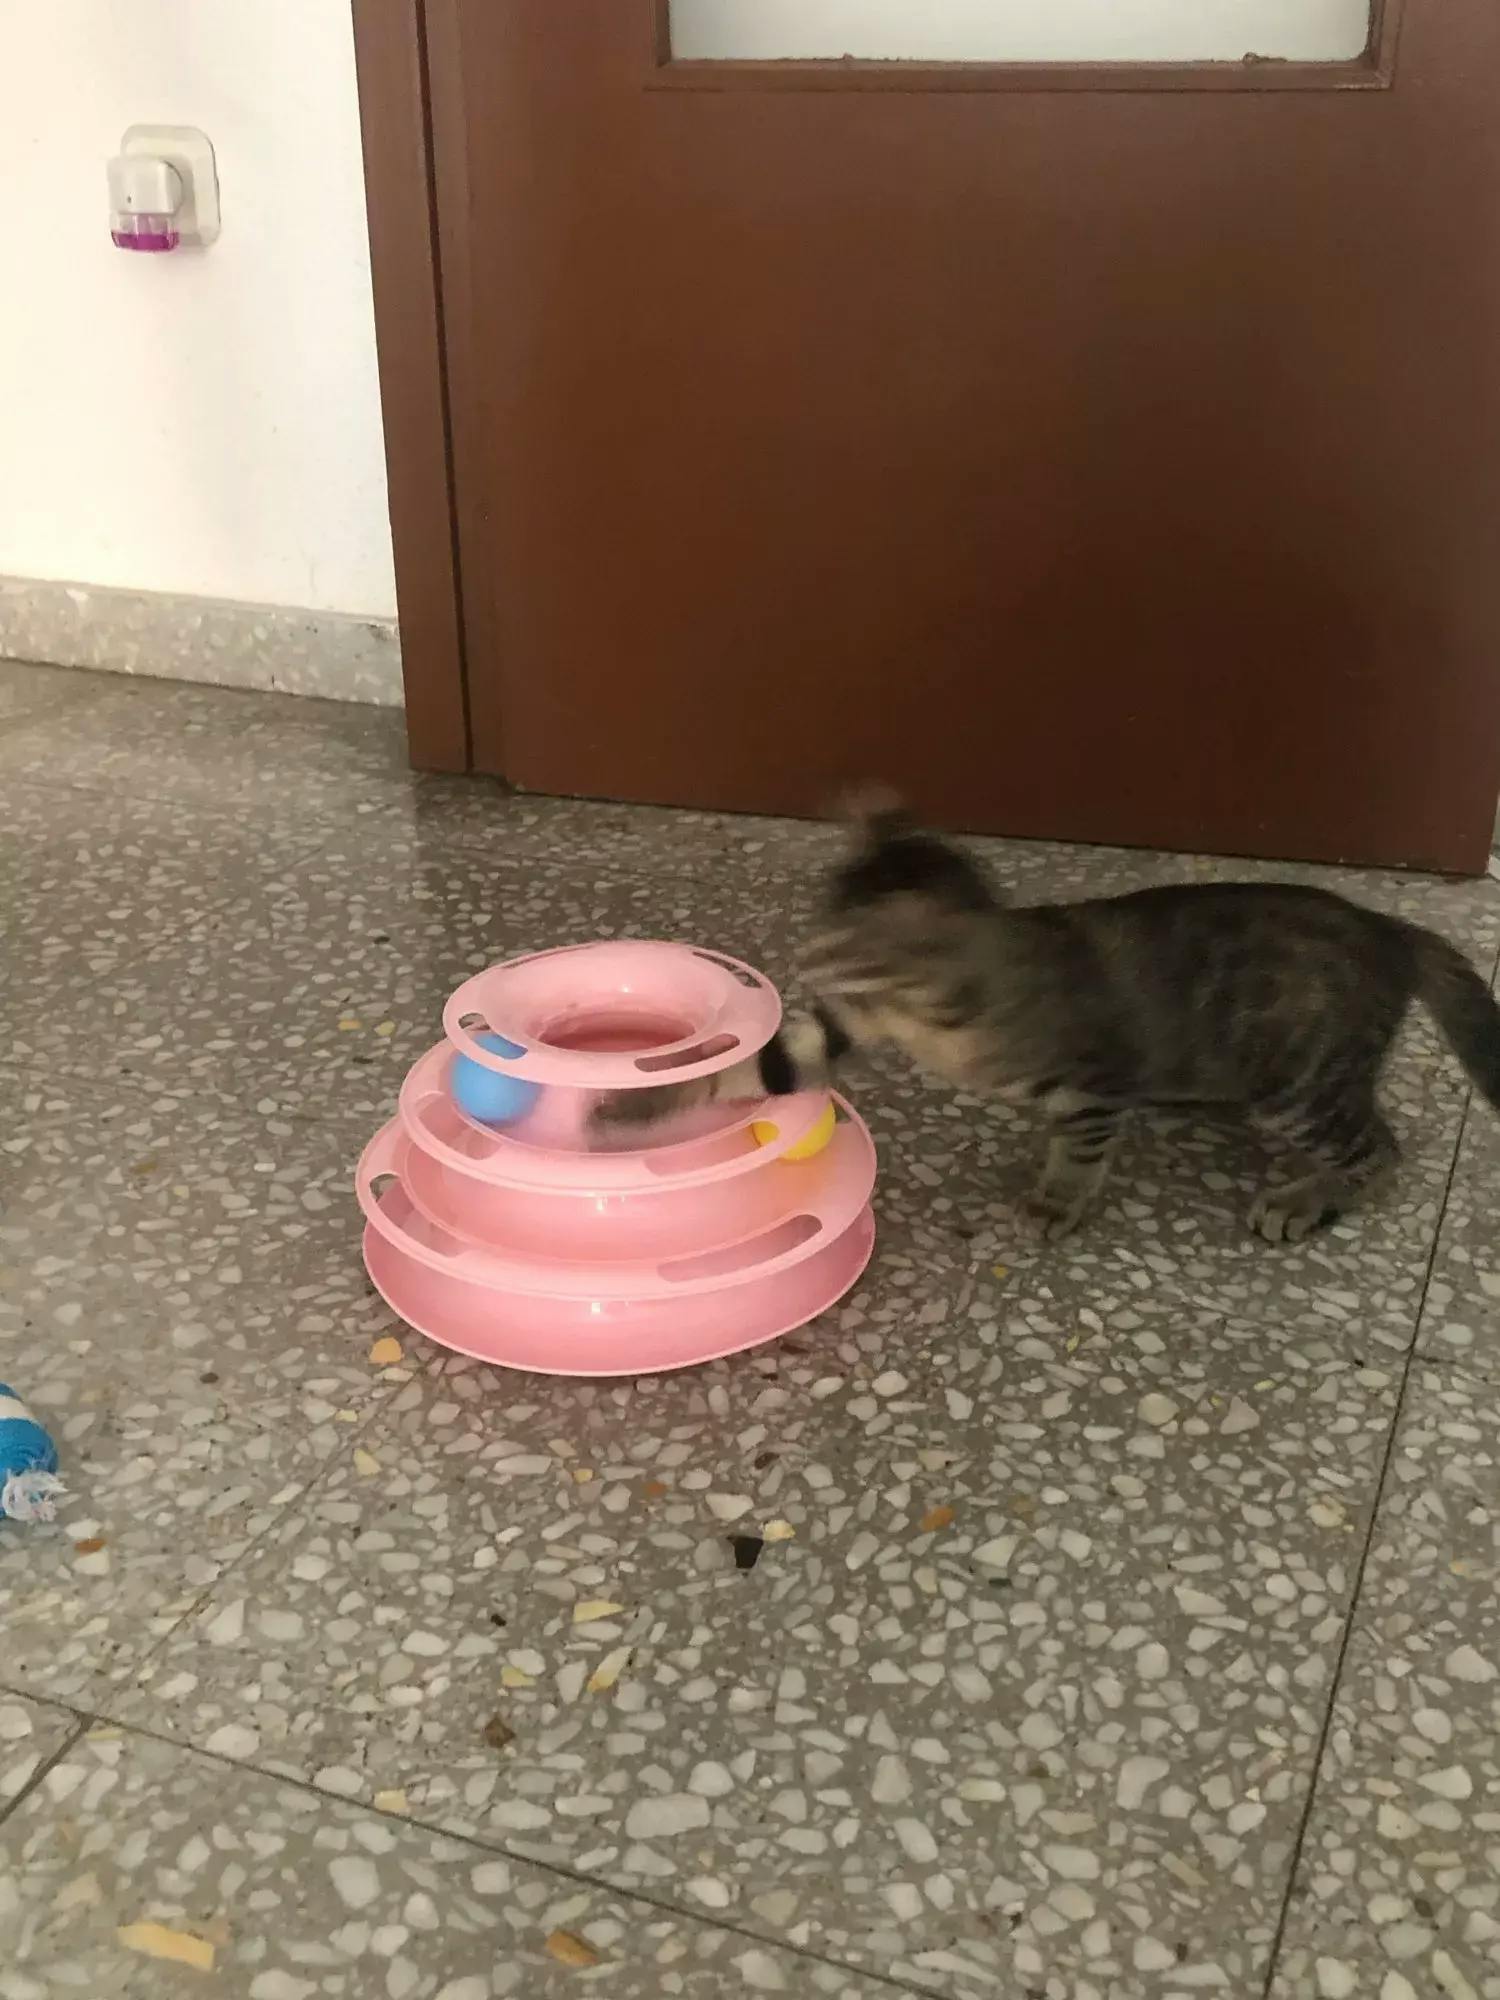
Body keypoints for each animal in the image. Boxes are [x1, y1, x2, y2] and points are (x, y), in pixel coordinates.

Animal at [595, 798, 1500, 1242]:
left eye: (840, 938)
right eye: (820, 920)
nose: (806, 952)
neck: (936, 1016)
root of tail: (1389, 927)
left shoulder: (1092, 1089)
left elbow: (1080, 1151)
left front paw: (1058, 1201)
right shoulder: (847, 1023)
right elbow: (763, 1063)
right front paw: (625, 1108)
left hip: (1303, 1082)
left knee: (1380, 1147)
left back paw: (1311, 1197)